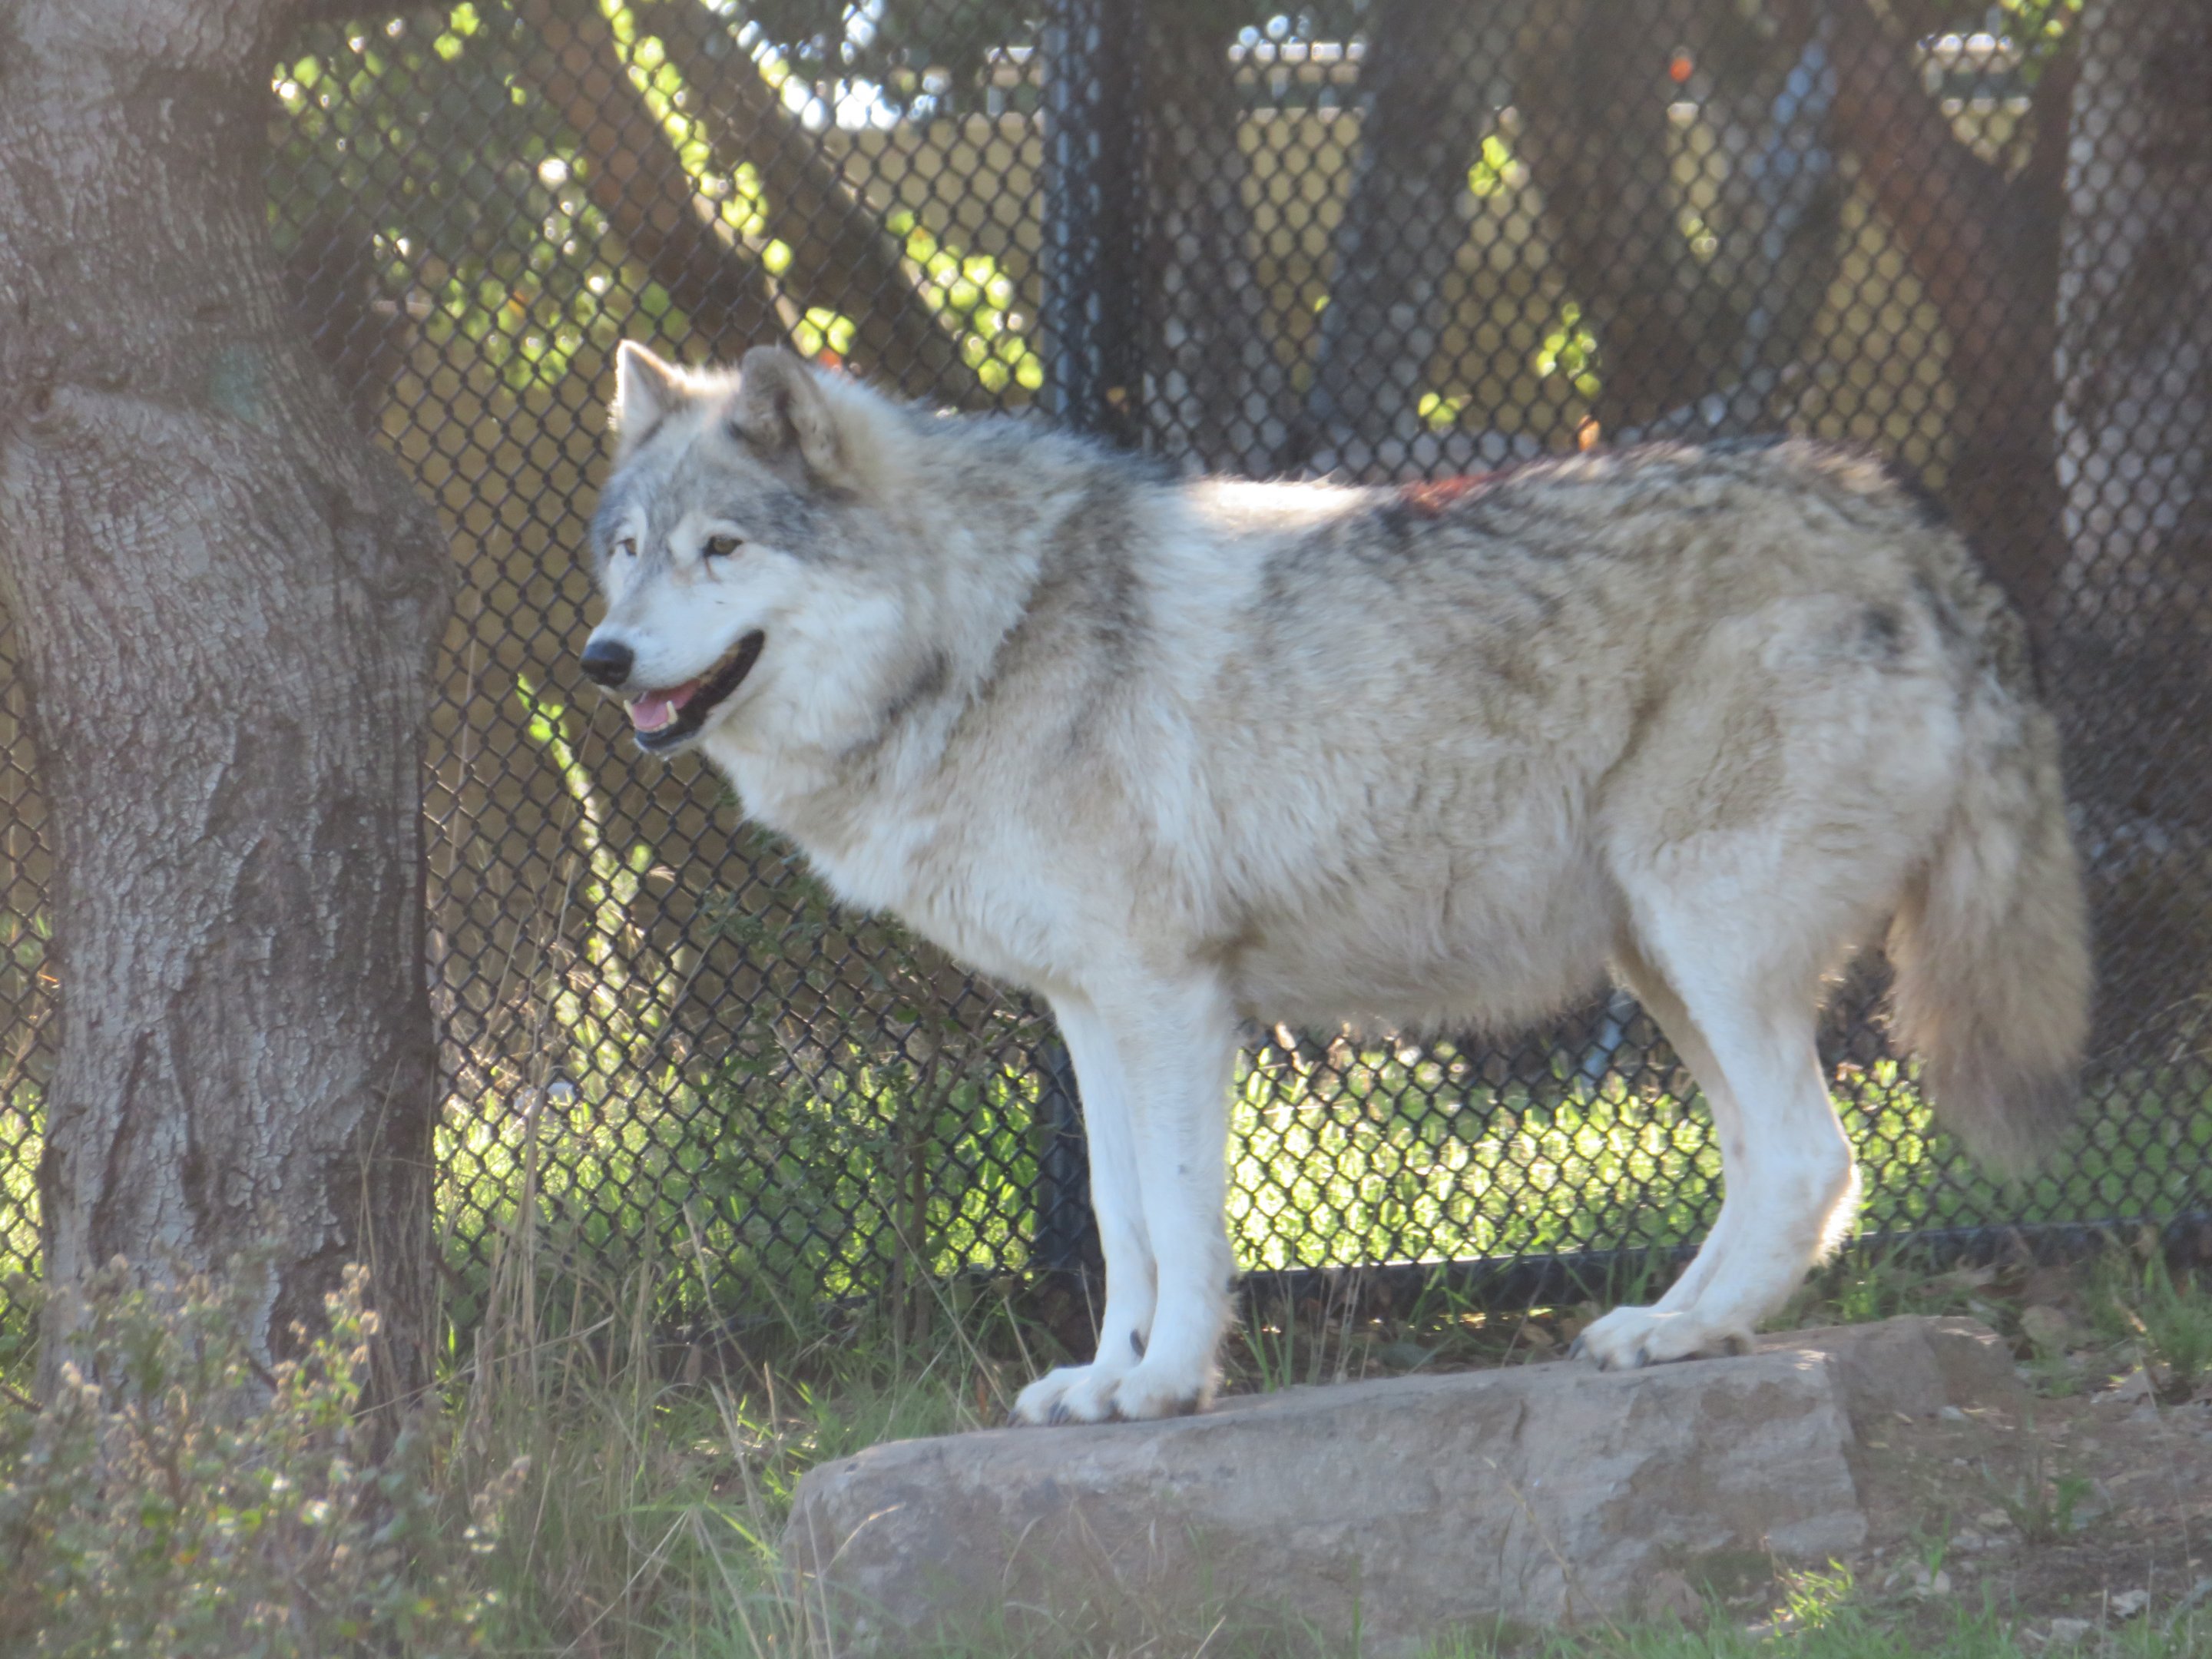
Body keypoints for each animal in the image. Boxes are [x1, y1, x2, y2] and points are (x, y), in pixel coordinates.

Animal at [581, 341, 2090, 1424]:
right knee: (1779, 1168)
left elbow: (1182, 1223)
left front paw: (1163, 1387)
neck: (982, 635)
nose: (602, 659)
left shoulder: (1172, 1004)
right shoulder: (1091, 1013)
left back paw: (1682, 1336)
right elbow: (1120, 1222)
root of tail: (1902, 518)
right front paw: (1101, 1381)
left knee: (1813, 1159)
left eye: (722, 548)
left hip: (1705, 944)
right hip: (1663, 969)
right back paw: (1668, 1326)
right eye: (628, 549)